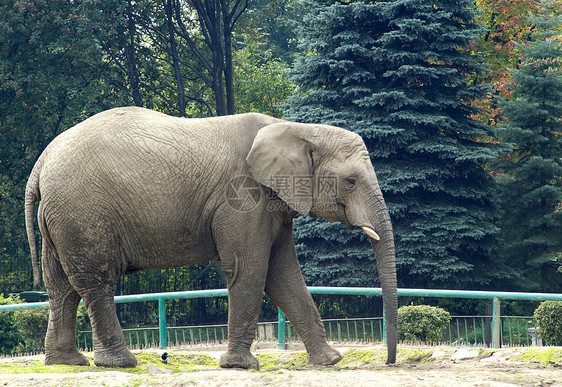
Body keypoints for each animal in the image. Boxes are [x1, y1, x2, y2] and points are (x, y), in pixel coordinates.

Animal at [24, 106, 396, 370]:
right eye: (350, 181)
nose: (389, 362)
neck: (298, 129)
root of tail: (41, 164)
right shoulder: (242, 197)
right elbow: (251, 268)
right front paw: (241, 366)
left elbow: (283, 273)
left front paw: (330, 361)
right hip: (83, 210)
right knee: (96, 280)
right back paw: (120, 363)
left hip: (61, 216)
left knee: (61, 287)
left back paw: (67, 362)